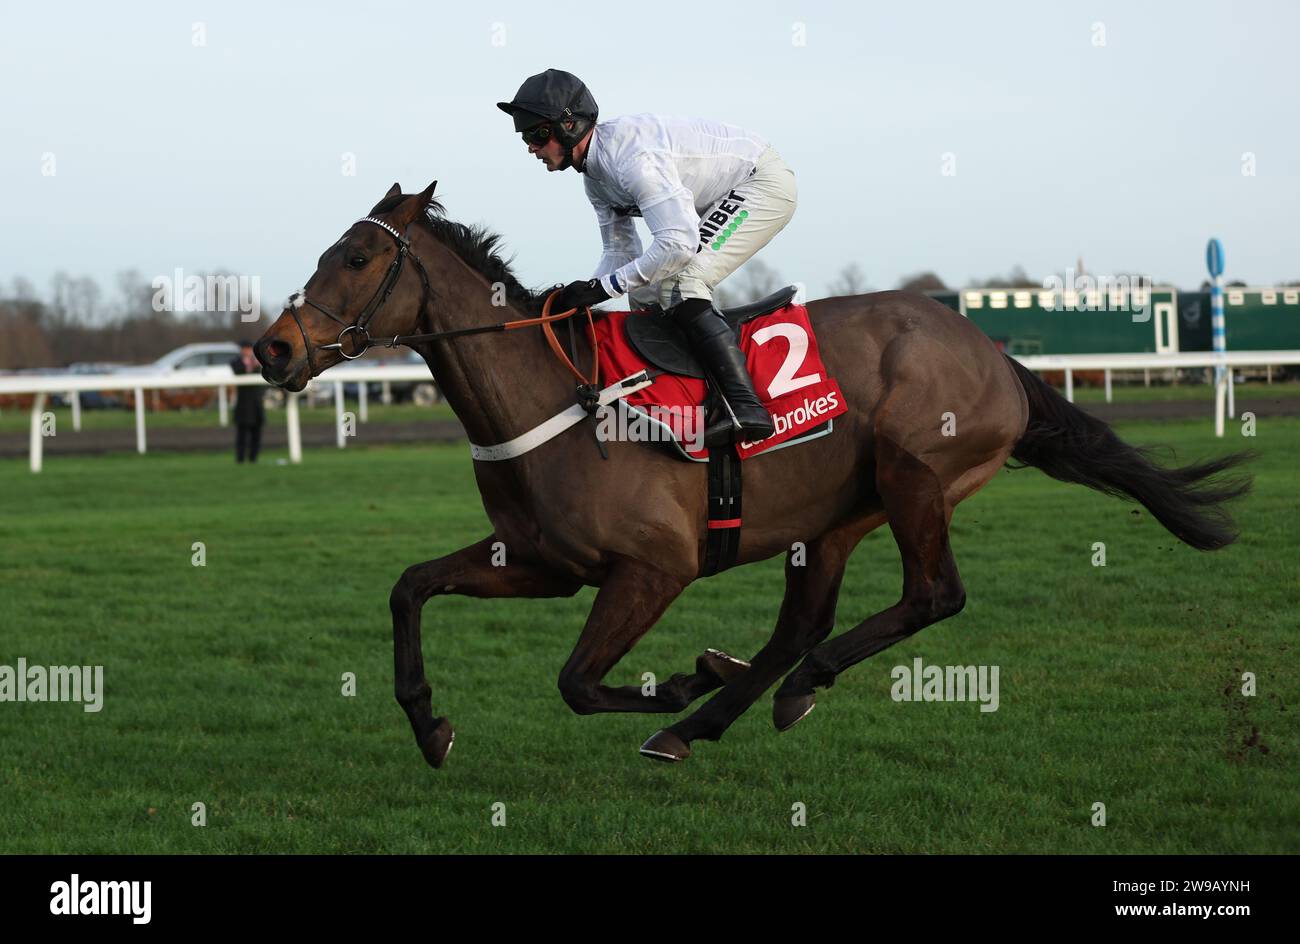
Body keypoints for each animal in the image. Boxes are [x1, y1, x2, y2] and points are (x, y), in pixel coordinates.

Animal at [250, 183, 1248, 769]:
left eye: (358, 257)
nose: (272, 348)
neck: (555, 396)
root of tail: (995, 354)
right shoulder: (539, 561)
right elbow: (409, 587)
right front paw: (429, 724)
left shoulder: (656, 567)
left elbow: (576, 682)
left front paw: (681, 680)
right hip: (834, 517)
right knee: (800, 626)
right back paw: (718, 714)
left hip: (915, 474)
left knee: (933, 596)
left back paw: (761, 695)